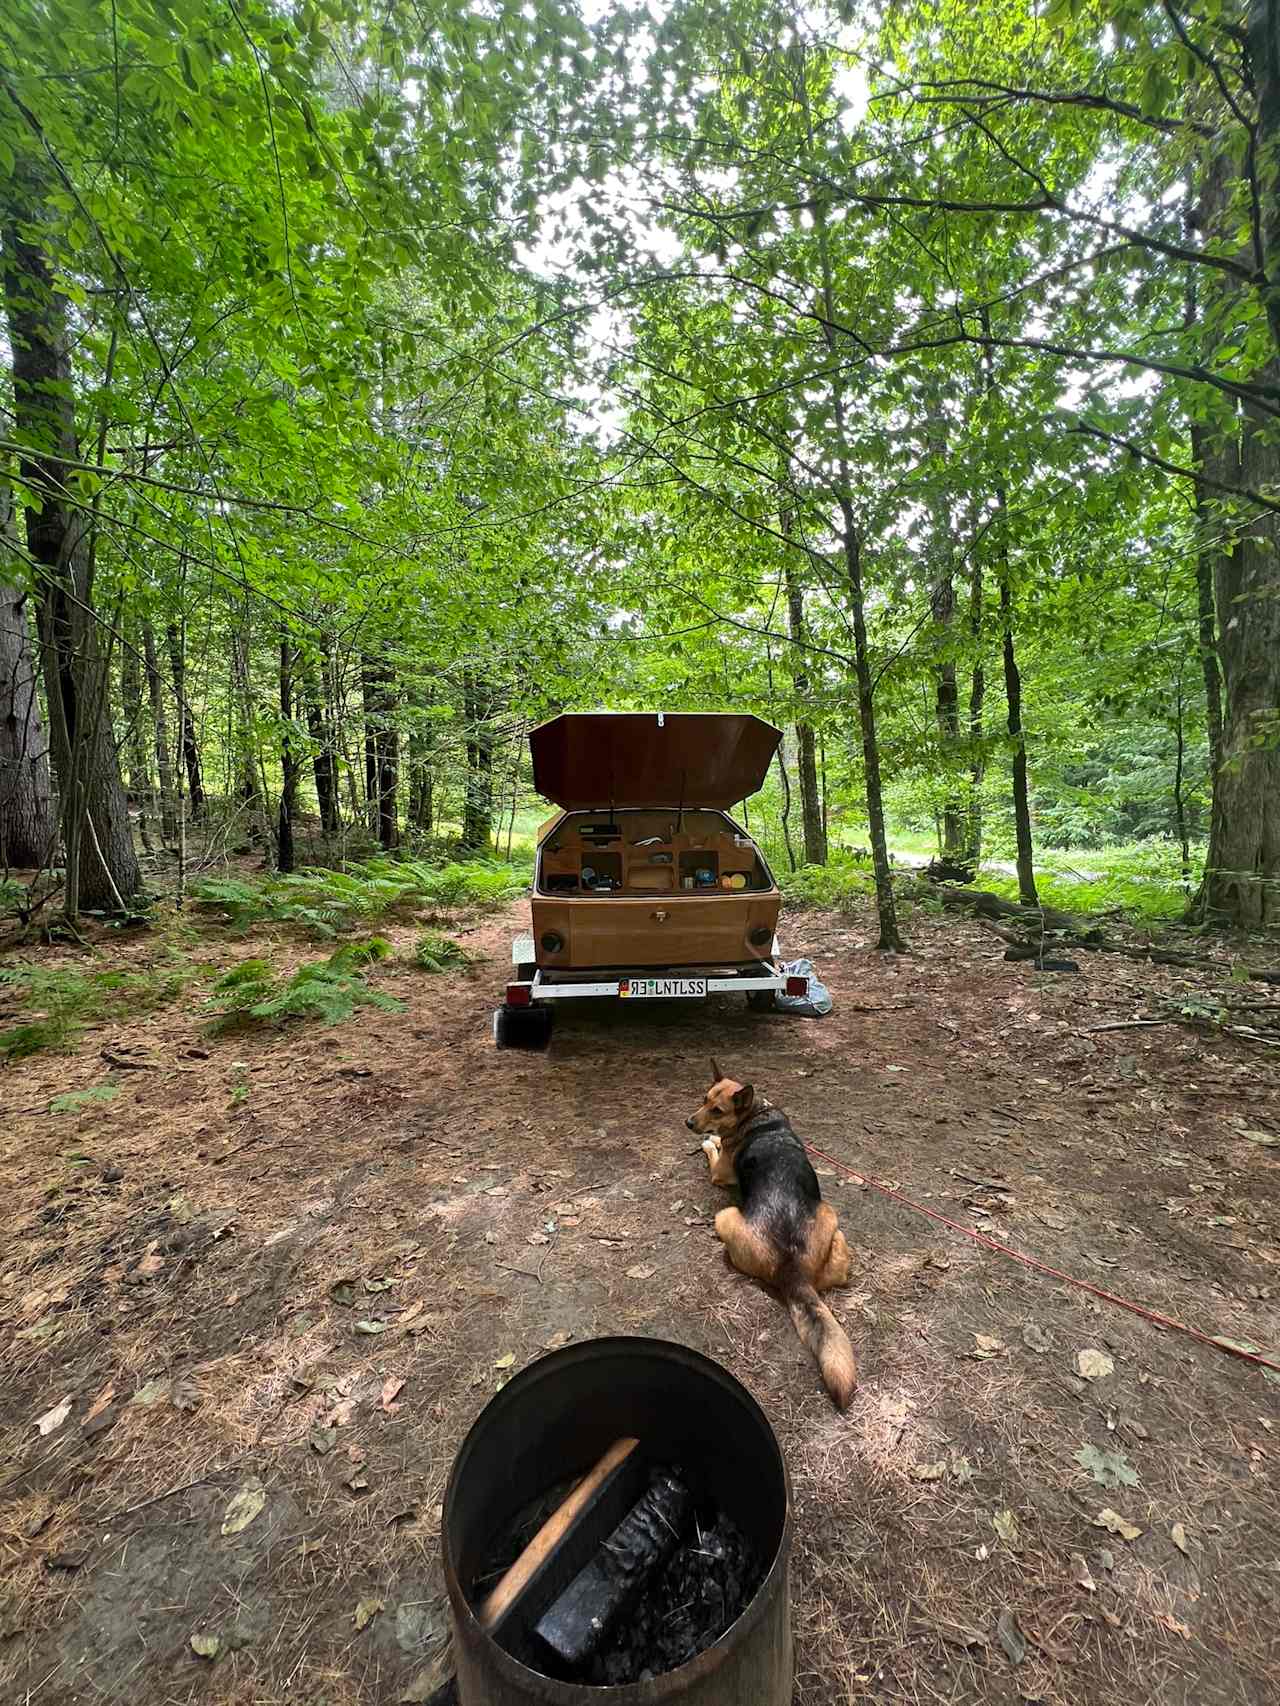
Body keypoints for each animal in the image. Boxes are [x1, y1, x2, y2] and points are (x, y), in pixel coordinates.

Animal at [686, 1064, 856, 1412]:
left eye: (717, 1110)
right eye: (703, 1099)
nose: (689, 1123)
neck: (753, 1115)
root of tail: (792, 1266)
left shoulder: (720, 1173)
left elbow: (714, 1149)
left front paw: (711, 1141)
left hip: (725, 1215)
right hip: (833, 1220)